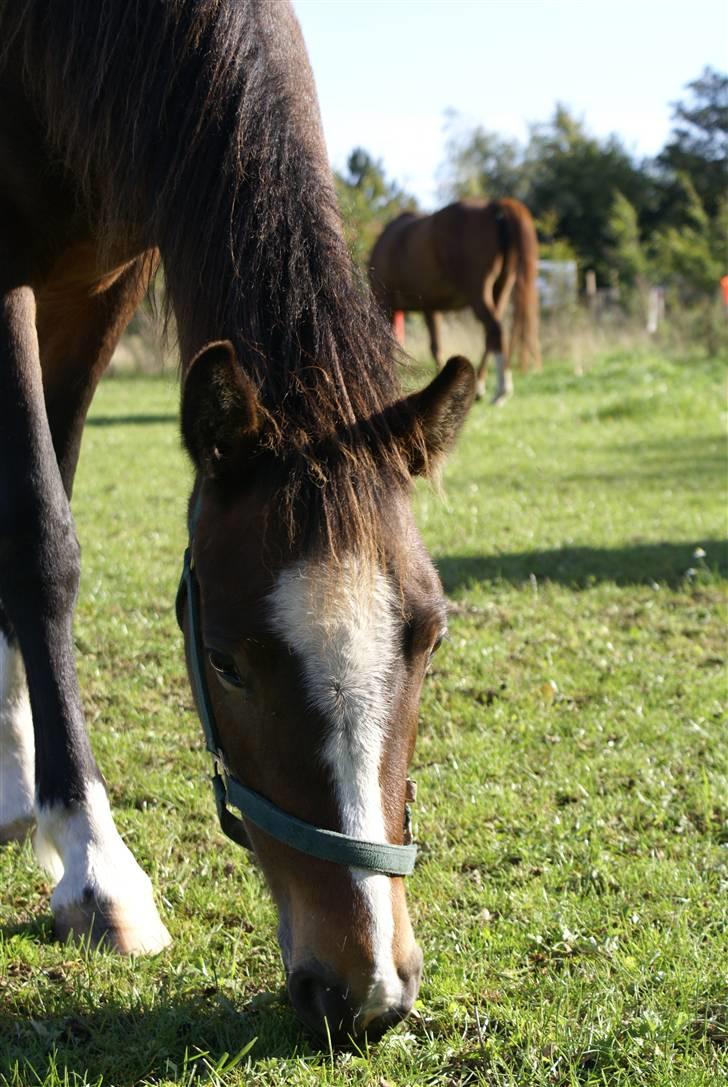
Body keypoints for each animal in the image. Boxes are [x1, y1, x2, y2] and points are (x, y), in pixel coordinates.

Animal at [0, 2, 475, 1052]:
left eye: (428, 638)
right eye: (221, 659)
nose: (367, 988)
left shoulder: (100, 282)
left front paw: (21, 787)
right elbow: (41, 540)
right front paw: (92, 862)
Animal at [371, 198, 541, 404]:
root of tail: (493, 205)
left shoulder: (386, 303)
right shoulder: (431, 308)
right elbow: (435, 346)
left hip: (478, 292)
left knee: (495, 330)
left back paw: (501, 391)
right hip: (501, 288)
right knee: (491, 336)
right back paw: (481, 387)